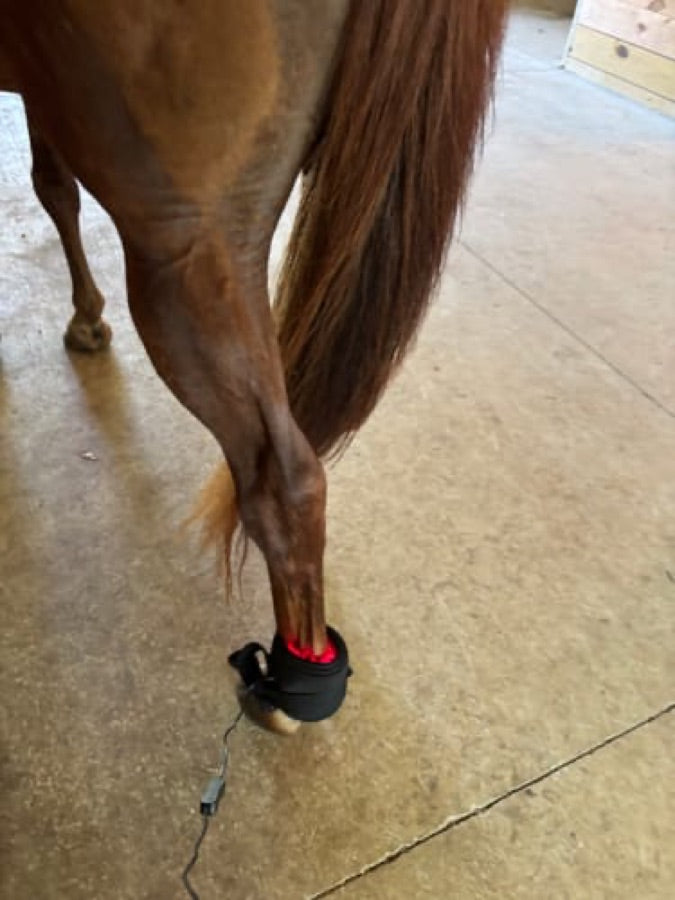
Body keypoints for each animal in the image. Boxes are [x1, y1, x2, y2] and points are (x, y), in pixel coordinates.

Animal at [0, 0, 507, 732]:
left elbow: (50, 184)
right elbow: (55, 185)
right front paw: (87, 318)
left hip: (186, 250)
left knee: (283, 480)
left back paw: (291, 681)